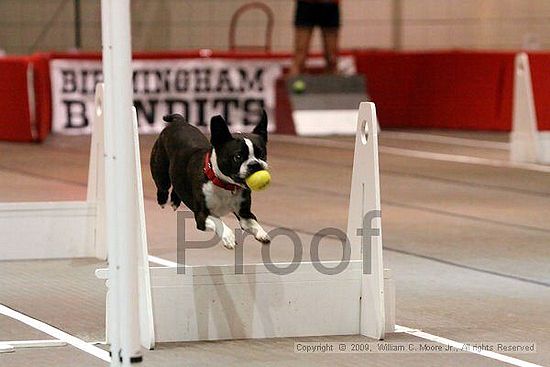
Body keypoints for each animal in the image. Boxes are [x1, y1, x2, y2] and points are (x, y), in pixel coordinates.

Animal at [151, 112, 272, 250]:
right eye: (238, 157)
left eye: (261, 154)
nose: (255, 164)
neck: (225, 185)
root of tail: (179, 121)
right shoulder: (202, 216)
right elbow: (218, 221)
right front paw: (228, 236)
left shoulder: (245, 214)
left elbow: (254, 223)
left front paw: (262, 233)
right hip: (160, 170)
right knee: (163, 187)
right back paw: (162, 200)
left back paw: (175, 201)